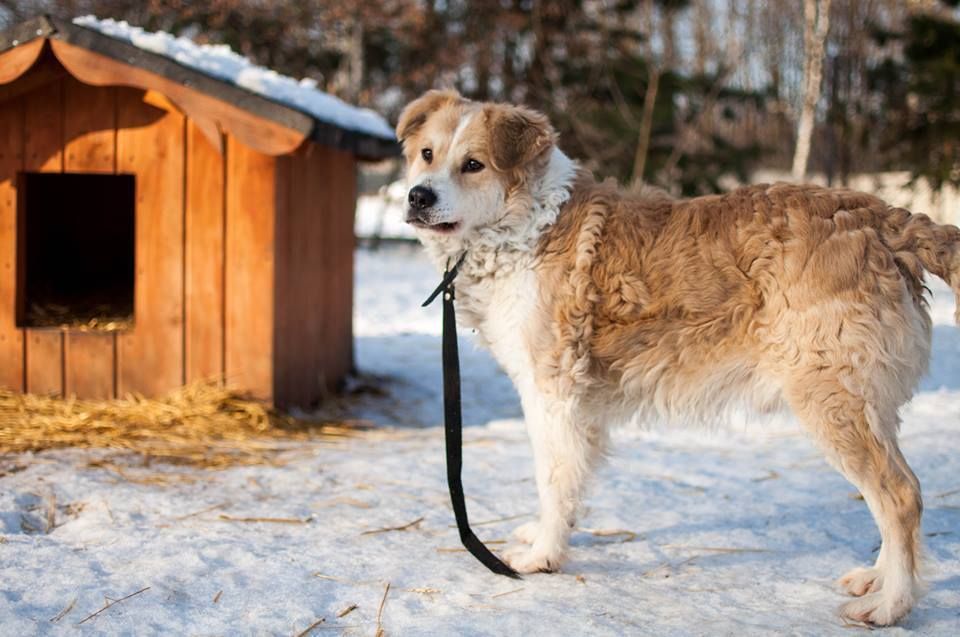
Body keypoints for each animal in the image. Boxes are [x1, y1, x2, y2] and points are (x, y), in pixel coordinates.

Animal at [392, 89, 960, 628]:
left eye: (473, 164)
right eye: (427, 154)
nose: (419, 196)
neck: (525, 225)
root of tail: (881, 216)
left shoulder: (552, 391)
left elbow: (553, 478)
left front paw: (543, 556)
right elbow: (568, 480)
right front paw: (543, 537)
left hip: (832, 400)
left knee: (900, 497)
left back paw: (891, 606)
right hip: (868, 406)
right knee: (898, 493)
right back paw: (878, 580)